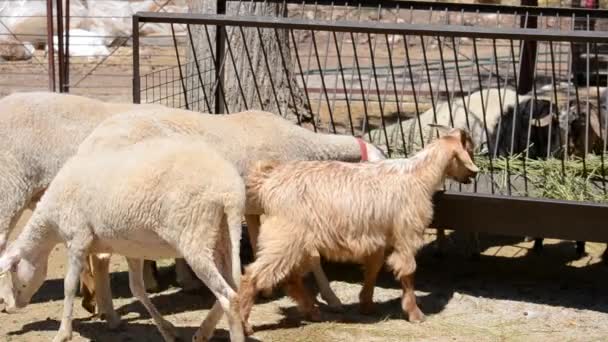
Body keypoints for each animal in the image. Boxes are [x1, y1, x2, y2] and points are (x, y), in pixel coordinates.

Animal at [0, 136, 247, 342]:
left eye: (12, 271)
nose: (11, 306)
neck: (50, 219)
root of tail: (229, 192)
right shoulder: (132, 250)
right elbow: (137, 289)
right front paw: (168, 331)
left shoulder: (78, 238)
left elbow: (69, 286)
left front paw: (63, 333)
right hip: (222, 238)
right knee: (236, 287)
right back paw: (203, 331)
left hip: (195, 237)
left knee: (229, 297)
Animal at [75, 107, 384, 326]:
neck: (304, 146)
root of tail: (92, 141)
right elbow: (314, 257)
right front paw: (331, 299)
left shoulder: (256, 208)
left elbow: (261, 246)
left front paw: (265, 288)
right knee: (101, 258)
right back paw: (110, 313)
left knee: (99, 257)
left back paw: (103, 310)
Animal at [238, 125, 480, 334]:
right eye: (469, 149)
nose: (474, 174)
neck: (418, 175)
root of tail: (268, 183)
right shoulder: (406, 234)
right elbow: (407, 271)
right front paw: (415, 314)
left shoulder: (378, 236)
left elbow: (373, 268)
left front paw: (366, 304)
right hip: (285, 238)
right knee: (253, 275)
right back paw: (245, 324)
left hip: (296, 243)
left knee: (290, 277)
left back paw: (312, 312)